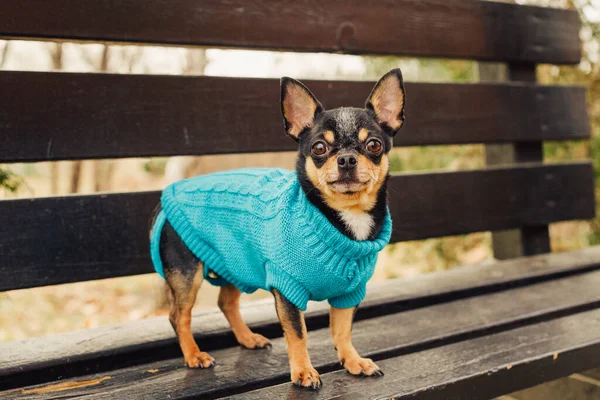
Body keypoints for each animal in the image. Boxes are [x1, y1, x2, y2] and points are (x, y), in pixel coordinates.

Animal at [148, 69, 406, 390]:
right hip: (187, 274)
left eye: (373, 145)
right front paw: (303, 372)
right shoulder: (287, 288)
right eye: (319, 148)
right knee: (179, 315)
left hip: (235, 260)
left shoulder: (350, 293)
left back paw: (247, 338)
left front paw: (353, 361)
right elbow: (298, 334)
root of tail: (167, 197)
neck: (339, 219)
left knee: (226, 302)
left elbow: (342, 330)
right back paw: (194, 355)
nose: (346, 159)